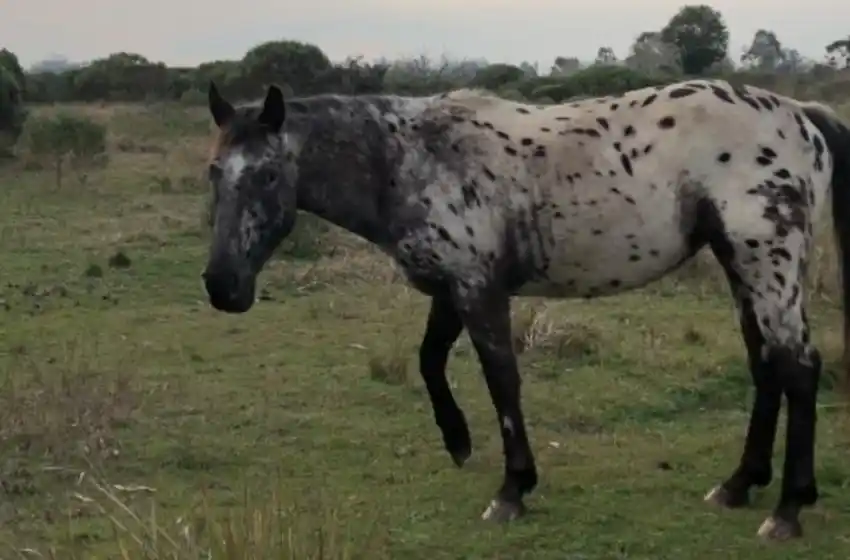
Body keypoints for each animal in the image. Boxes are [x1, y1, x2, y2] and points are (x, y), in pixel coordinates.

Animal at [200, 77, 850, 541]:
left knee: (798, 368)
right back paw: (738, 486)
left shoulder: (478, 289)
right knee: (766, 366)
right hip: (742, 268)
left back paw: (787, 510)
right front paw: (458, 441)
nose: (222, 287)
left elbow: (501, 380)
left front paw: (512, 489)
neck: (411, 159)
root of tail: (798, 114)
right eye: (213, 171)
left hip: (767, 264)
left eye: (267, 174)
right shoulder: (453, 287)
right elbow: (430, 360)